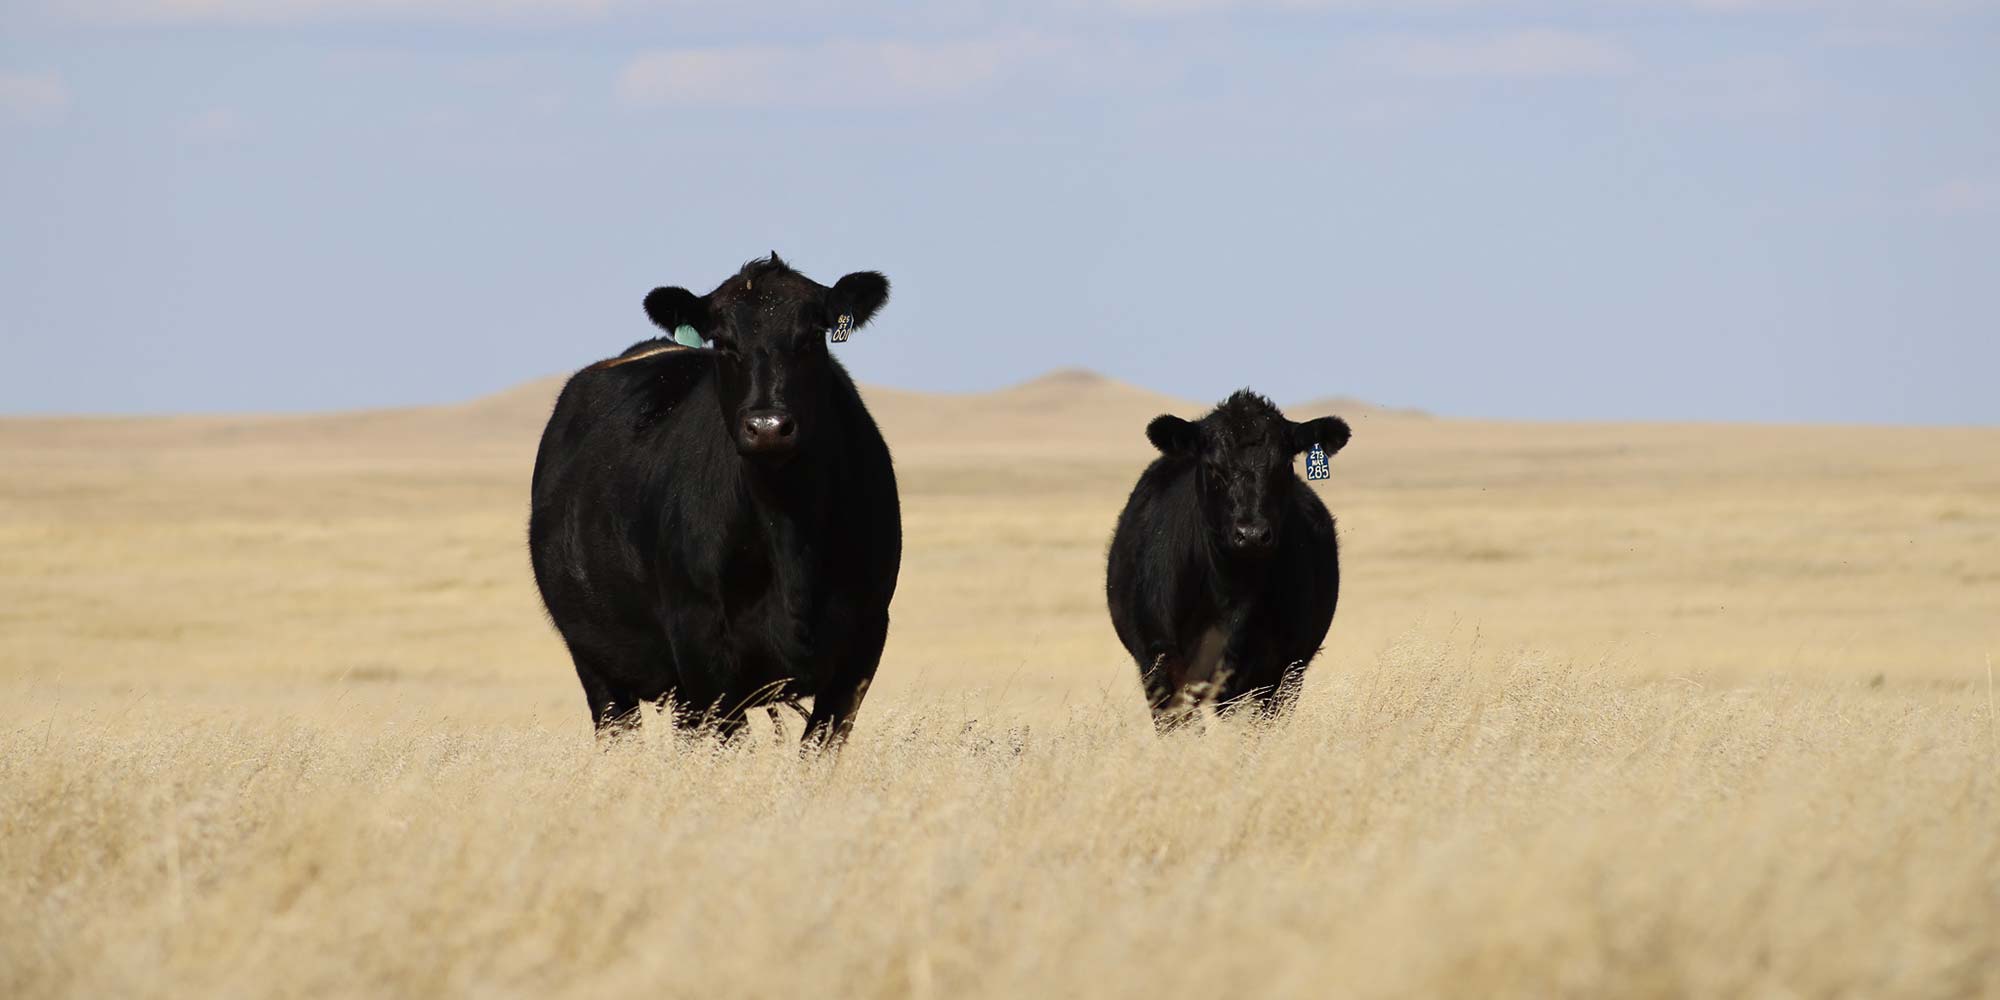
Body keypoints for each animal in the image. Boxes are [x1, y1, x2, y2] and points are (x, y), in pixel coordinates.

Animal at [536, 254, 904, 748]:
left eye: (811, 336)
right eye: (724, 343)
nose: (767, 427)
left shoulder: (863, 641)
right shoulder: (700, 647)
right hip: (595, 660)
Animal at [1104, 388, 1352, 728]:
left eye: (1283, 464)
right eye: (1213, 466)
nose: (1251, 534)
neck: (1231, 591)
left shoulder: (1273, 673)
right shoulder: (1162, 668)